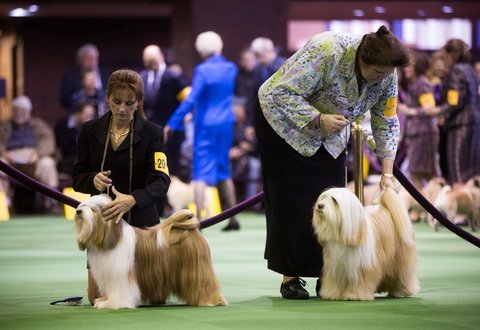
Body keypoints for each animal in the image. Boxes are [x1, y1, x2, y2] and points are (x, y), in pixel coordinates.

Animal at [73, 195, 227, 308]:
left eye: (93, 209)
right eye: (83, 205)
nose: (78, 211)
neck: (111, 238)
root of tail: (189, 229)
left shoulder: (119, 276)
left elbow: (120, 292)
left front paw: (113, 304)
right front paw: (104, 301)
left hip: (196, 271)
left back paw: (211, 300)